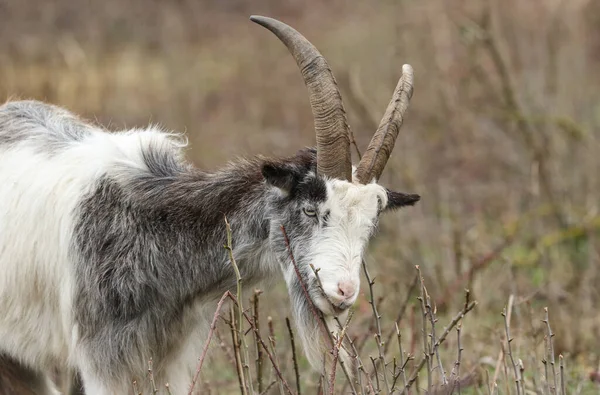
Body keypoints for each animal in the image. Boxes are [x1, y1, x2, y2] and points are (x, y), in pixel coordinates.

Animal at [0, 16, 420, 395]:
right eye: (310, 210)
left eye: (369, 227)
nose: (344, 293)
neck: (153, 223)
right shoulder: (103, 362)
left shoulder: (169, 358)